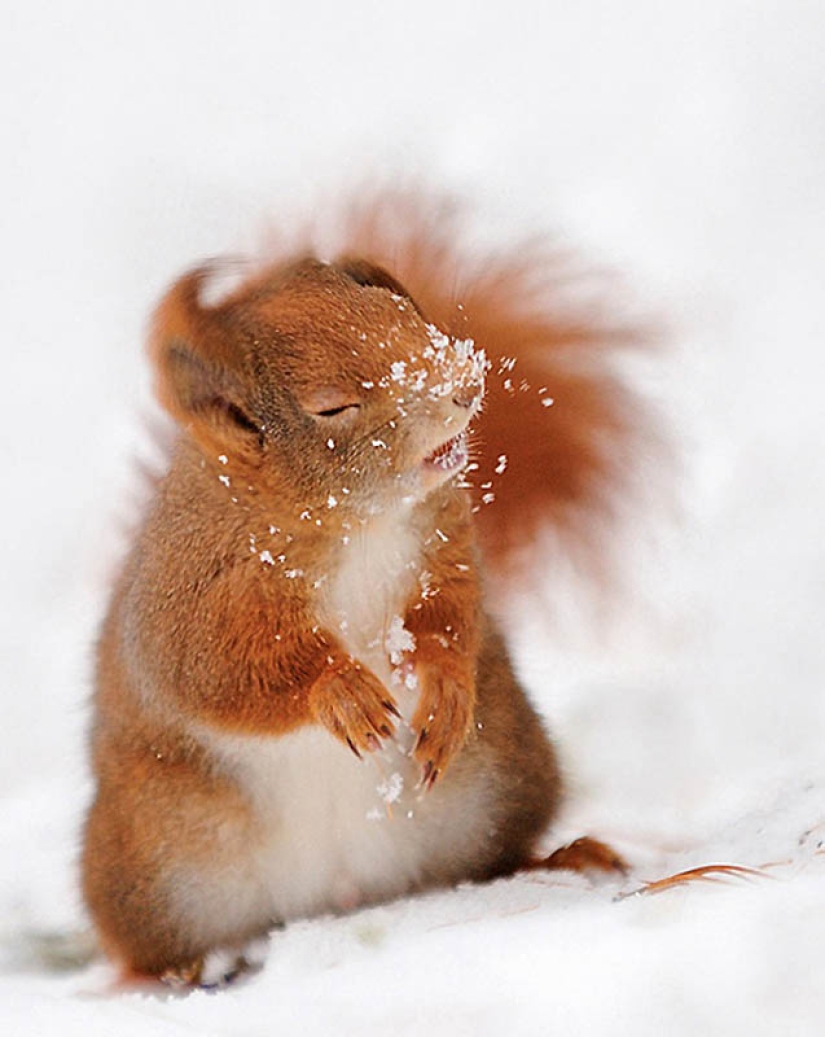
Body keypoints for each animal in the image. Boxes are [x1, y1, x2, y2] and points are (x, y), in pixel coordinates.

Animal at [80, 195, 646, 987]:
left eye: (402, 313)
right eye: (331, 407)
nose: (463, 384)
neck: (355, 524)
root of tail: (338, 897)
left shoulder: (443, 539)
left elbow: (452, 611)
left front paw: (443, 684)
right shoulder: (193, 596)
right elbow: (221, 672)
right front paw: (339, 691)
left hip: (501, 778)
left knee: (490, 861)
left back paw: (560, 858)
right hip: (155, 865)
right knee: (144, 943)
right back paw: (162, 978)